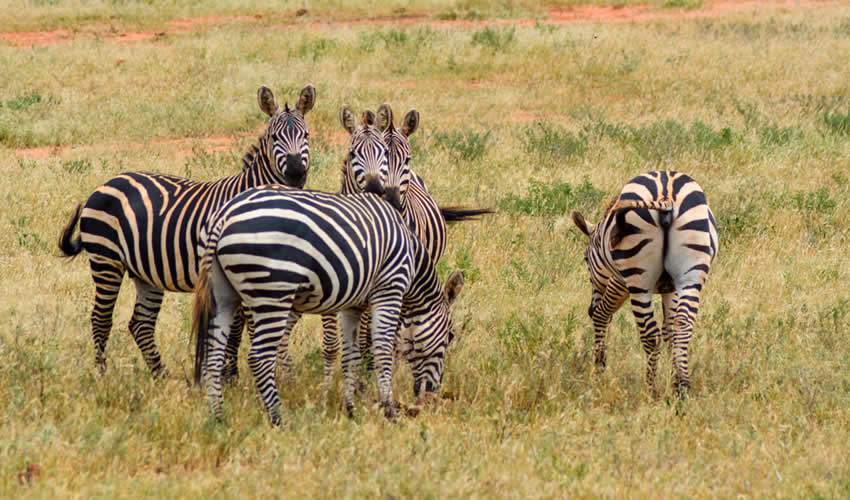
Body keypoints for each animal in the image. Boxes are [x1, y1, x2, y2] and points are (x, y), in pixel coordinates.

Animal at [57, 85, 314, 376]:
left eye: (306, 135)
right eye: (273, 137)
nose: (296, 172)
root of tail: (108, 182)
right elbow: (238, 329)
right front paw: (232, 376)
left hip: (145, 271)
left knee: (140, 324)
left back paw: (162, 376)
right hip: (106, 261)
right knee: (101, 319)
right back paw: (103, 375)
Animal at [190, 188, 464, 426]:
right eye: (450, 336)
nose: (433, 394)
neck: (412, 259)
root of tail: (225, 215)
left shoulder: (352, 306)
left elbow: (351, 357)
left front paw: (350, 408)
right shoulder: (389, 289)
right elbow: (383, 351)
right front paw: (389, 411)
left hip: (223, 295)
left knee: (213, 356)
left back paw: (218, 416)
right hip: (274, 292)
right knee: (260, 357)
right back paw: (279, 419)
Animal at [568, 171, 716, 394]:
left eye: (585, 259)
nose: (588, 308)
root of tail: (665, 195)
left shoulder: (619, 281)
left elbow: (602, 314)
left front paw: (599, 368)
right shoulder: (671, 288)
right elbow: (669, 331)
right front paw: (673, 377)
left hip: (638, 280)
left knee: (650, 335)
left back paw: (651, 391)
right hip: (691, 276)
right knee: (682, 326)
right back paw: (681, 389)